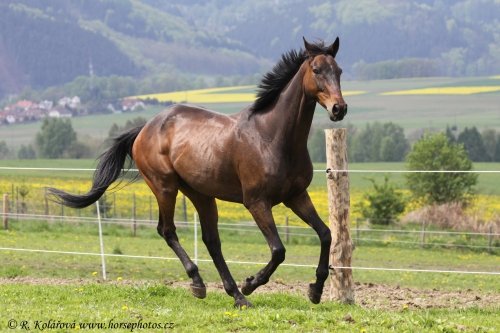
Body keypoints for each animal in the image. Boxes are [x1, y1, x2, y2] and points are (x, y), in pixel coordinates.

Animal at [49, 37, 348, 308]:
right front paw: (251, 283)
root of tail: (145, 128)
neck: (271, 136)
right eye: (316, 70)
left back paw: (235, 296)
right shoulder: (257, 202)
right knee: (167, 230)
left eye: (339, 70)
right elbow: (278, 250)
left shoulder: (296, 196)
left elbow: (326, 235)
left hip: (200, 194)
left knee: (211, 240)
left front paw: (315, 290)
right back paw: (202, 285)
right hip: (165, 187)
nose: (339, 108)